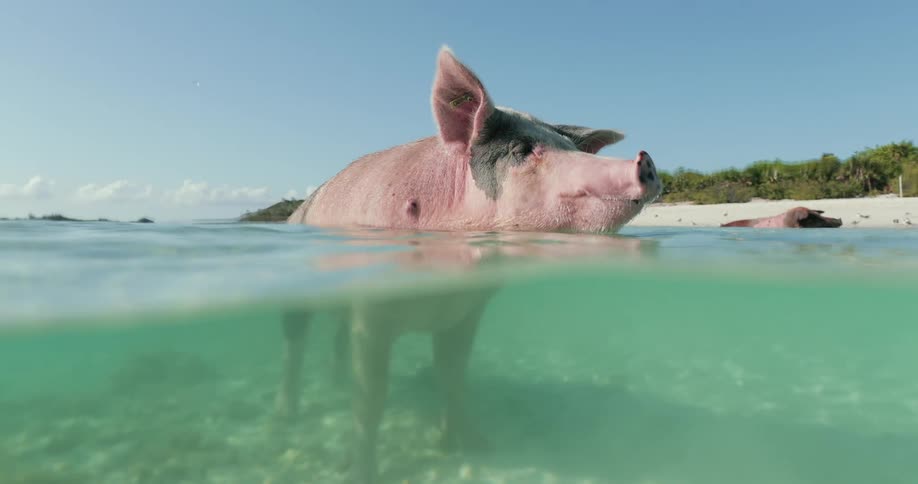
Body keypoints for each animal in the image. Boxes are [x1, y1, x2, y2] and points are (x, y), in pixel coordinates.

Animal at [278, 46, 662, 484]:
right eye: (522, 150)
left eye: (571, 146)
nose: (645, 159)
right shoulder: (371, 313)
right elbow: (372, 395)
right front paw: (363, 472)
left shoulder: (466, 310)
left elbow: (453, 374)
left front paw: (473, 447)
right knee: (295, 342)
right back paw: (287, 416)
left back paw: (335, 381)